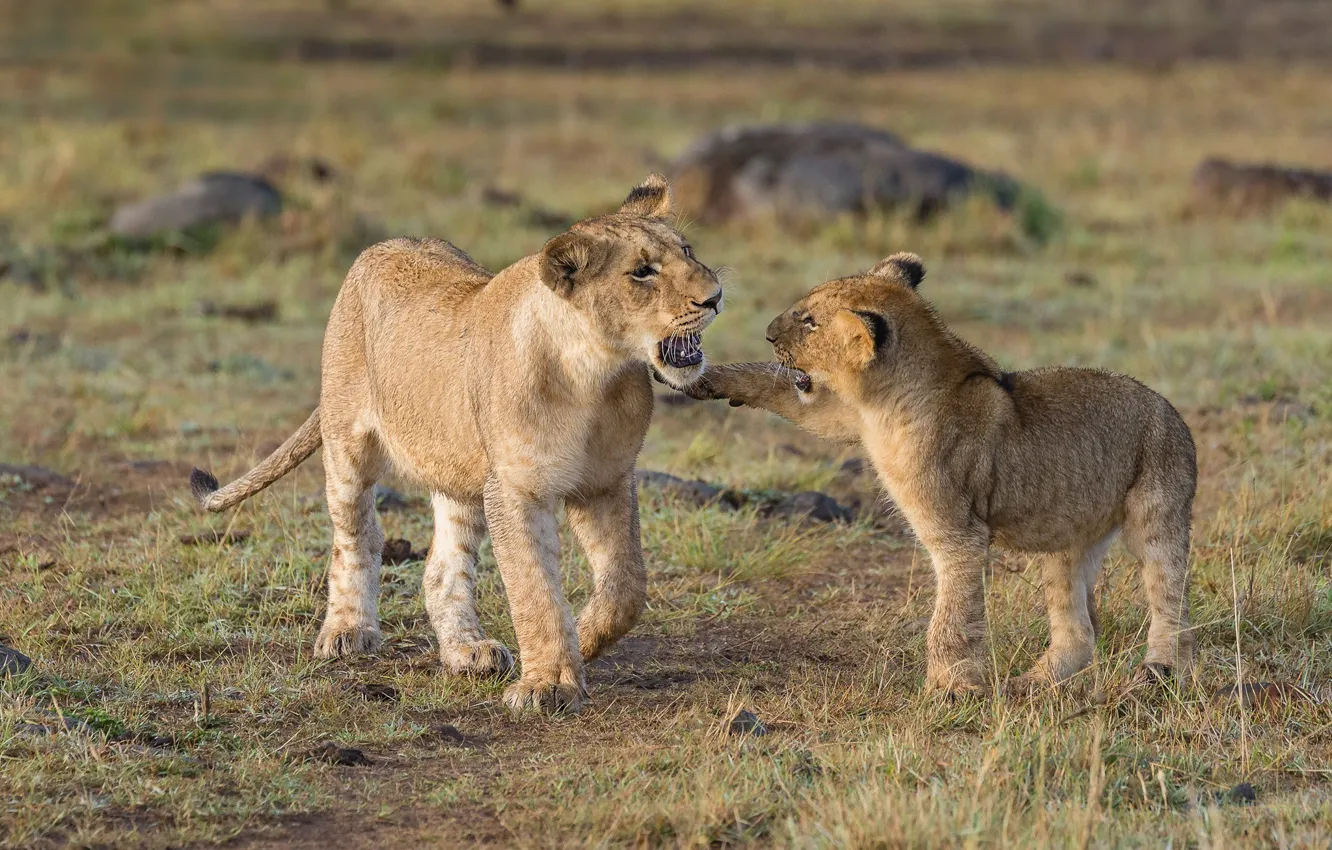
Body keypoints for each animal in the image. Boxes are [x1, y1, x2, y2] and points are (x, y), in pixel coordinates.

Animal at [189, 174, 722, 714]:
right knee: (357, 537)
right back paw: (346, 631)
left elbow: (625, 587)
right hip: (347, 444)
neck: (594, 375)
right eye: (642, 272)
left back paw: (468, 650)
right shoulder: (514, 489)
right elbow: (535, 589)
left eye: (687, 251)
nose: (715, 297)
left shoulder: (606, 481)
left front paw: (584, 641)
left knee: (441, 568)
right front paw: (548, 684)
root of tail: (384, 245)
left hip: (460, 472)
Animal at [689, 253, 1196, 694]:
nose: (768, 333)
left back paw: (1159, 669)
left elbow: (952, 615)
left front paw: (950, 688)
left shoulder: (958, 533)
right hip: (1068, 539)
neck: (884, 402)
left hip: (1158, 513)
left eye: (809, 320)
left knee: (1170, 597)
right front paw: (705, 378)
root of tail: (1172, 411)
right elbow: (773, 386)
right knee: (1079, 630)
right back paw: (1031, 683)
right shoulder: (843, 416)